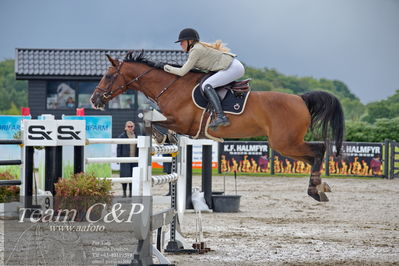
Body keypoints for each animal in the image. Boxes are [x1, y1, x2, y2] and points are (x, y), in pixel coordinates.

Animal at [90, 50, 344, 202]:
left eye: (108, 76)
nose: (94, 100)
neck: (172, 87)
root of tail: (301, 99)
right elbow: (156, 122)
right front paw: (166, 138)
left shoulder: (182, 122)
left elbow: (149, 119)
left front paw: (161, 137)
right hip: (286, 145)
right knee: (312, 157)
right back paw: (320, 187)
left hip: (285, 142)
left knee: (319, 150)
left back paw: (315, 189)